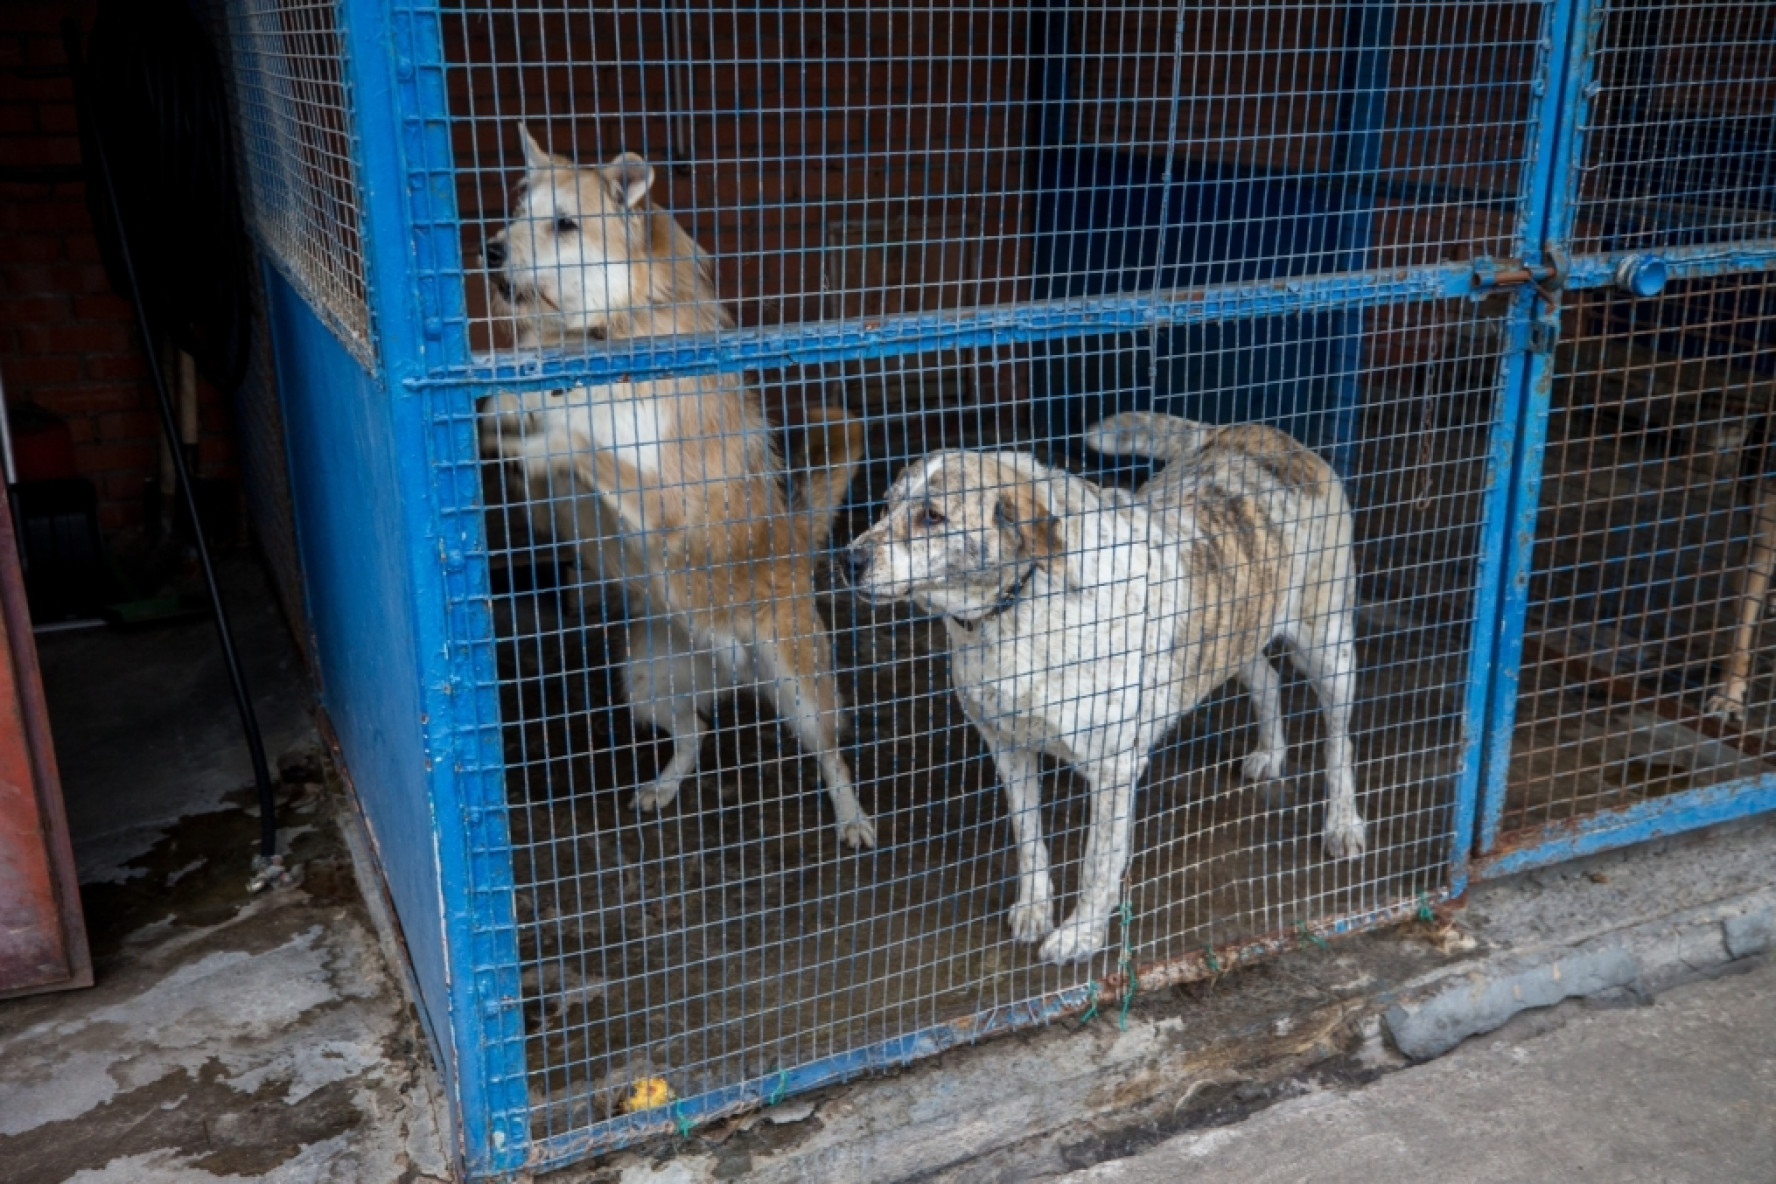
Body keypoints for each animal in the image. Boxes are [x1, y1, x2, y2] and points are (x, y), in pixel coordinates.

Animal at [483, 127, 877, 852]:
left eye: (564, 224)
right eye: (519, 215)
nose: (489, 249)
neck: (601, 339)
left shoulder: (669, 501)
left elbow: (580, 445)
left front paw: (550, 435)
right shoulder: (550, 504)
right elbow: (525, 430)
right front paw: (504, 416)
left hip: (799, 687)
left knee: (830, 751)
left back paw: (853, 818)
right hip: (644, 682)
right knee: (695, 731)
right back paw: (664, 786)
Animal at [845, 411, 1356, 965]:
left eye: (933, 516)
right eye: (886, 505)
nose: (848, 561)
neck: (1019, 605)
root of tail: (1258, 432)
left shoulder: (1112, 768)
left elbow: (1098, 862)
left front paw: (1080, 935)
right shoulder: (1008, 747)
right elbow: (1029, 840)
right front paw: (1035, 908)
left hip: (1327, 645)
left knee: (1339, 741)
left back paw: (1343, 823)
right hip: (1236, 629)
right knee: (1266, 676)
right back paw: (1272, 753)